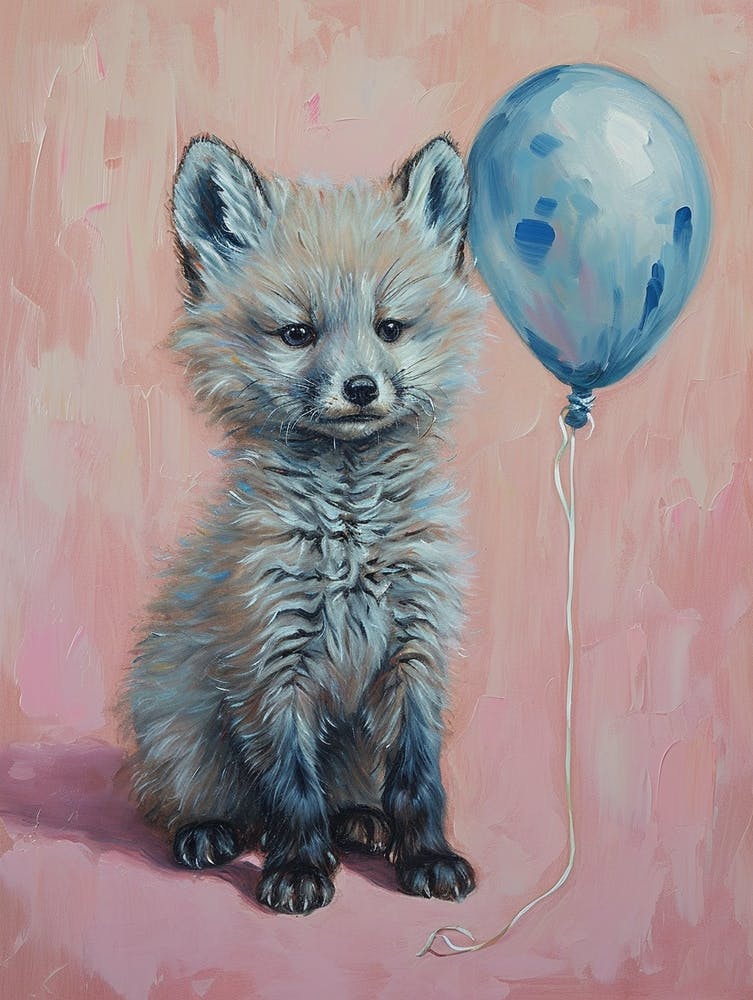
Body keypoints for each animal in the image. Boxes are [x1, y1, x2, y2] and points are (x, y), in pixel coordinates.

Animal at [125, 133, 484, 914]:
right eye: (297, 333)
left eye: (389, 328)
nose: (361, 388)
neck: (349, 533)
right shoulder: (268, 656)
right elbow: (290, 785)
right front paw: (296, 872)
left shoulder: (415, 653)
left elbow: (419, 780)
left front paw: (428, 858)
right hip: (183, 733)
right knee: (208, 801)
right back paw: (210, 831)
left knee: (350, 793)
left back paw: (360, 821)